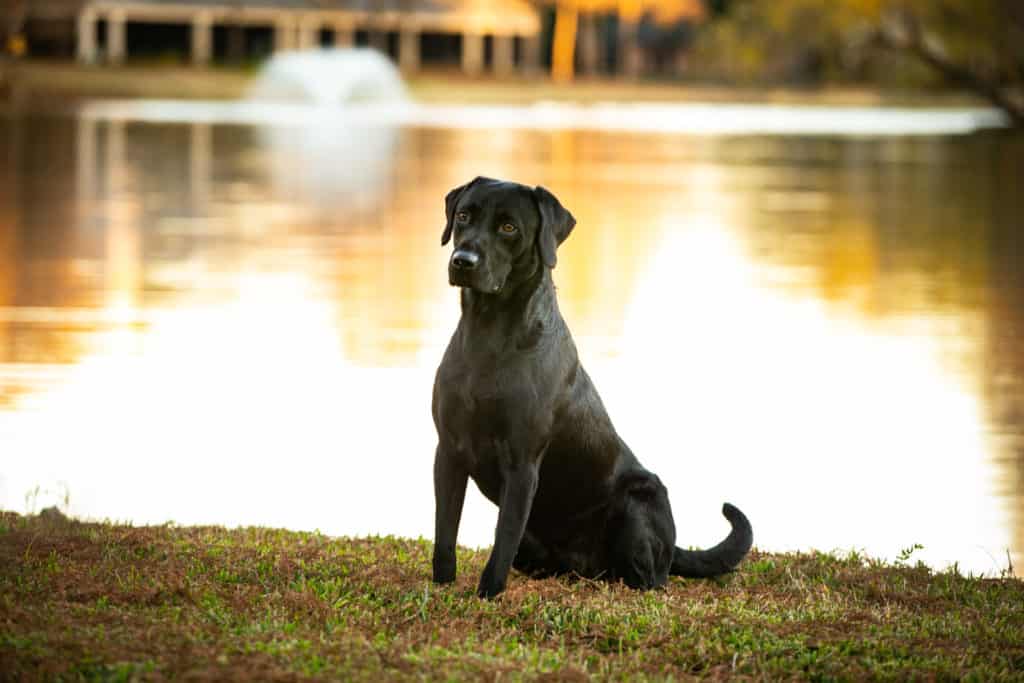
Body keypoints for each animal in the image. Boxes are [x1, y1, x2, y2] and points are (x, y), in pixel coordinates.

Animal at [432, 178, 753, 598]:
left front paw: (488, 594)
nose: (463, 260)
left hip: (640, 499)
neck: (488, 333)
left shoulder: (522, 464)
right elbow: (444, 533)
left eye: (509, 227)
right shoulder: (448, 451)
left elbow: (502, 540)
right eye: (464, 216)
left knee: (654, 577)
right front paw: (440, 587)